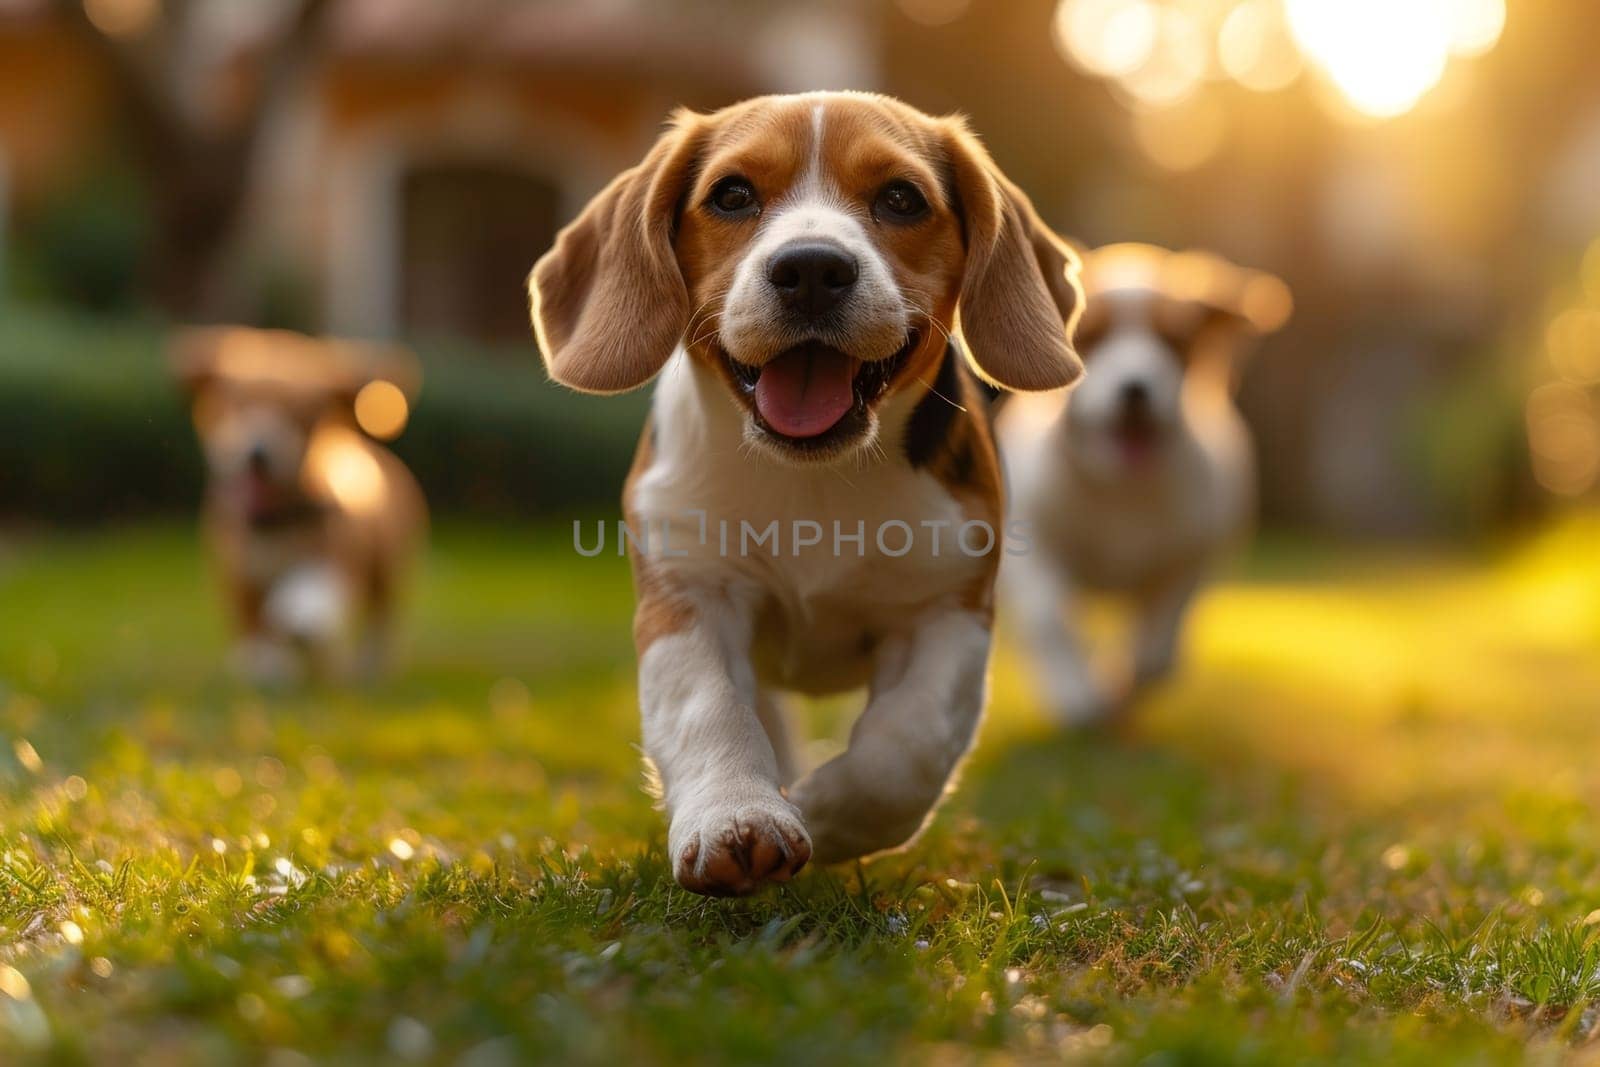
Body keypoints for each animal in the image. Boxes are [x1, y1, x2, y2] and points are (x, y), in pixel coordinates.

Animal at [173, 326, 425, 687]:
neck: (275, 520)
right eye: (236, 404)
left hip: (386, 565)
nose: (257, 454)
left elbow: (312, 586)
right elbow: (251, 619)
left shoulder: (333, 552)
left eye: (297, 413)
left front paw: (302, 616)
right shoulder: (239, 569)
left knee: (380, 612)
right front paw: (265, 663)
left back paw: (366, 661)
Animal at [531, 91, 1081, 895]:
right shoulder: (689, 595)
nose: (813, 268)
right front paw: (737, 815)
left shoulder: (948, 611)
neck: (813, 481)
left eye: (901, 198)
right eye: (732, 195)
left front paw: (826, 812)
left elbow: (906, 744)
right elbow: (710, 709)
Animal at [992, 241, 1292, 726]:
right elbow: (1050, 617)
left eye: (1174, 340)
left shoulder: (1191, 555)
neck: (1121, 488)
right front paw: (1076, 692)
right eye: (1090, 335)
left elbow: (1159, 648)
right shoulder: (1031, 545)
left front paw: (1124, 684)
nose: (1136, 388)